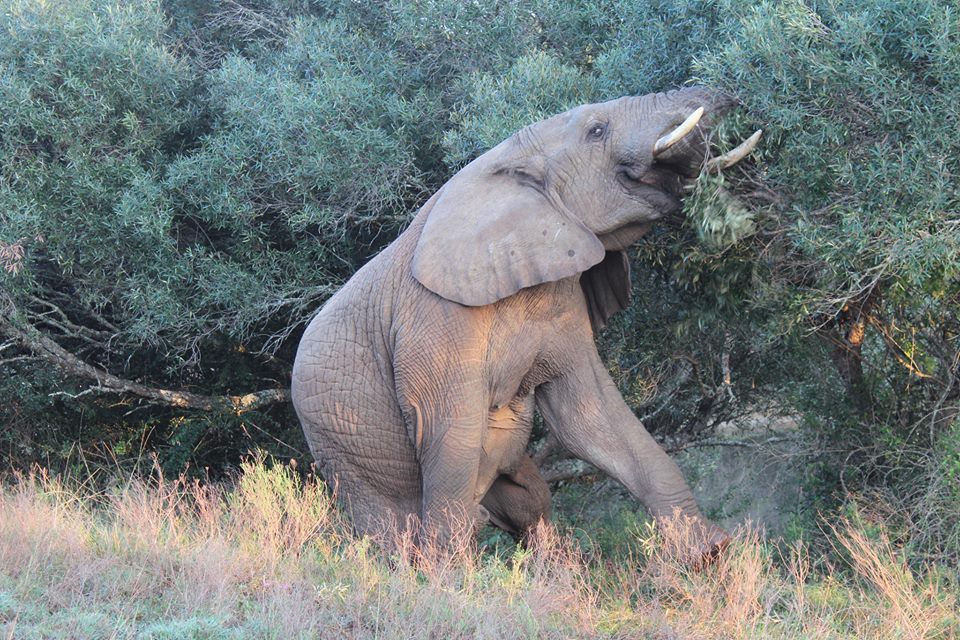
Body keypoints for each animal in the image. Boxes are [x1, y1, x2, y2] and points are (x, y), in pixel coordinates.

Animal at [290, 86, 756, 560]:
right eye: (597, 130)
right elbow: (449, 428)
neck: (510, 162)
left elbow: (589, 413)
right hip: (342, 439)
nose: (725, 94)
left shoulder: (562, 301)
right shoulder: (437, 317)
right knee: (391, 522)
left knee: (532, 500)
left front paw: (710, 553)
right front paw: (449, 573)